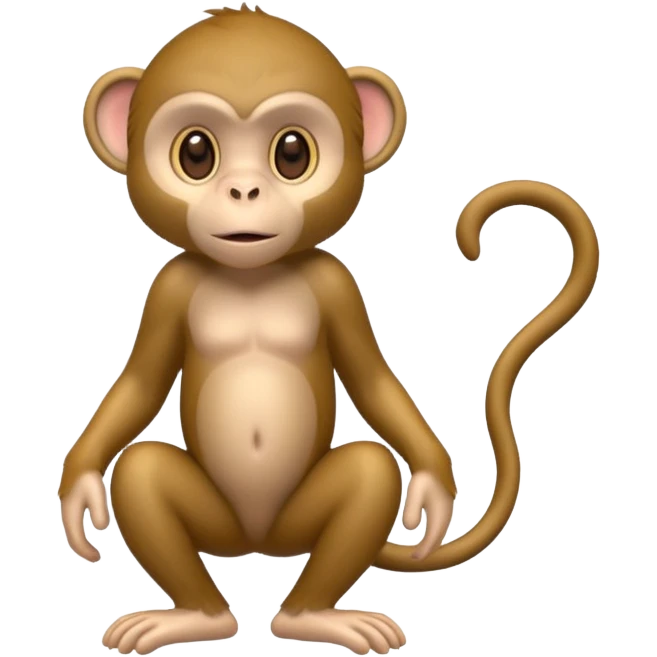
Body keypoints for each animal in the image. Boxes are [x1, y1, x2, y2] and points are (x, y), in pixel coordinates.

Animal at [60, 5, 600, 656]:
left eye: (292, 153)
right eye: (196, 153)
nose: (245, 190)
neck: (253, 275)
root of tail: (259, 547)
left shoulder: (338, 285)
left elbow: (371, 380)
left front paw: (432, 490)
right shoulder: (168, 289)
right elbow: (140, 385)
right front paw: (78, 492)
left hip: (298, 522)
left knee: (369, 470)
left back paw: (310, 617)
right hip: (222, 525)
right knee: (141, 471)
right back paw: (198, 617)